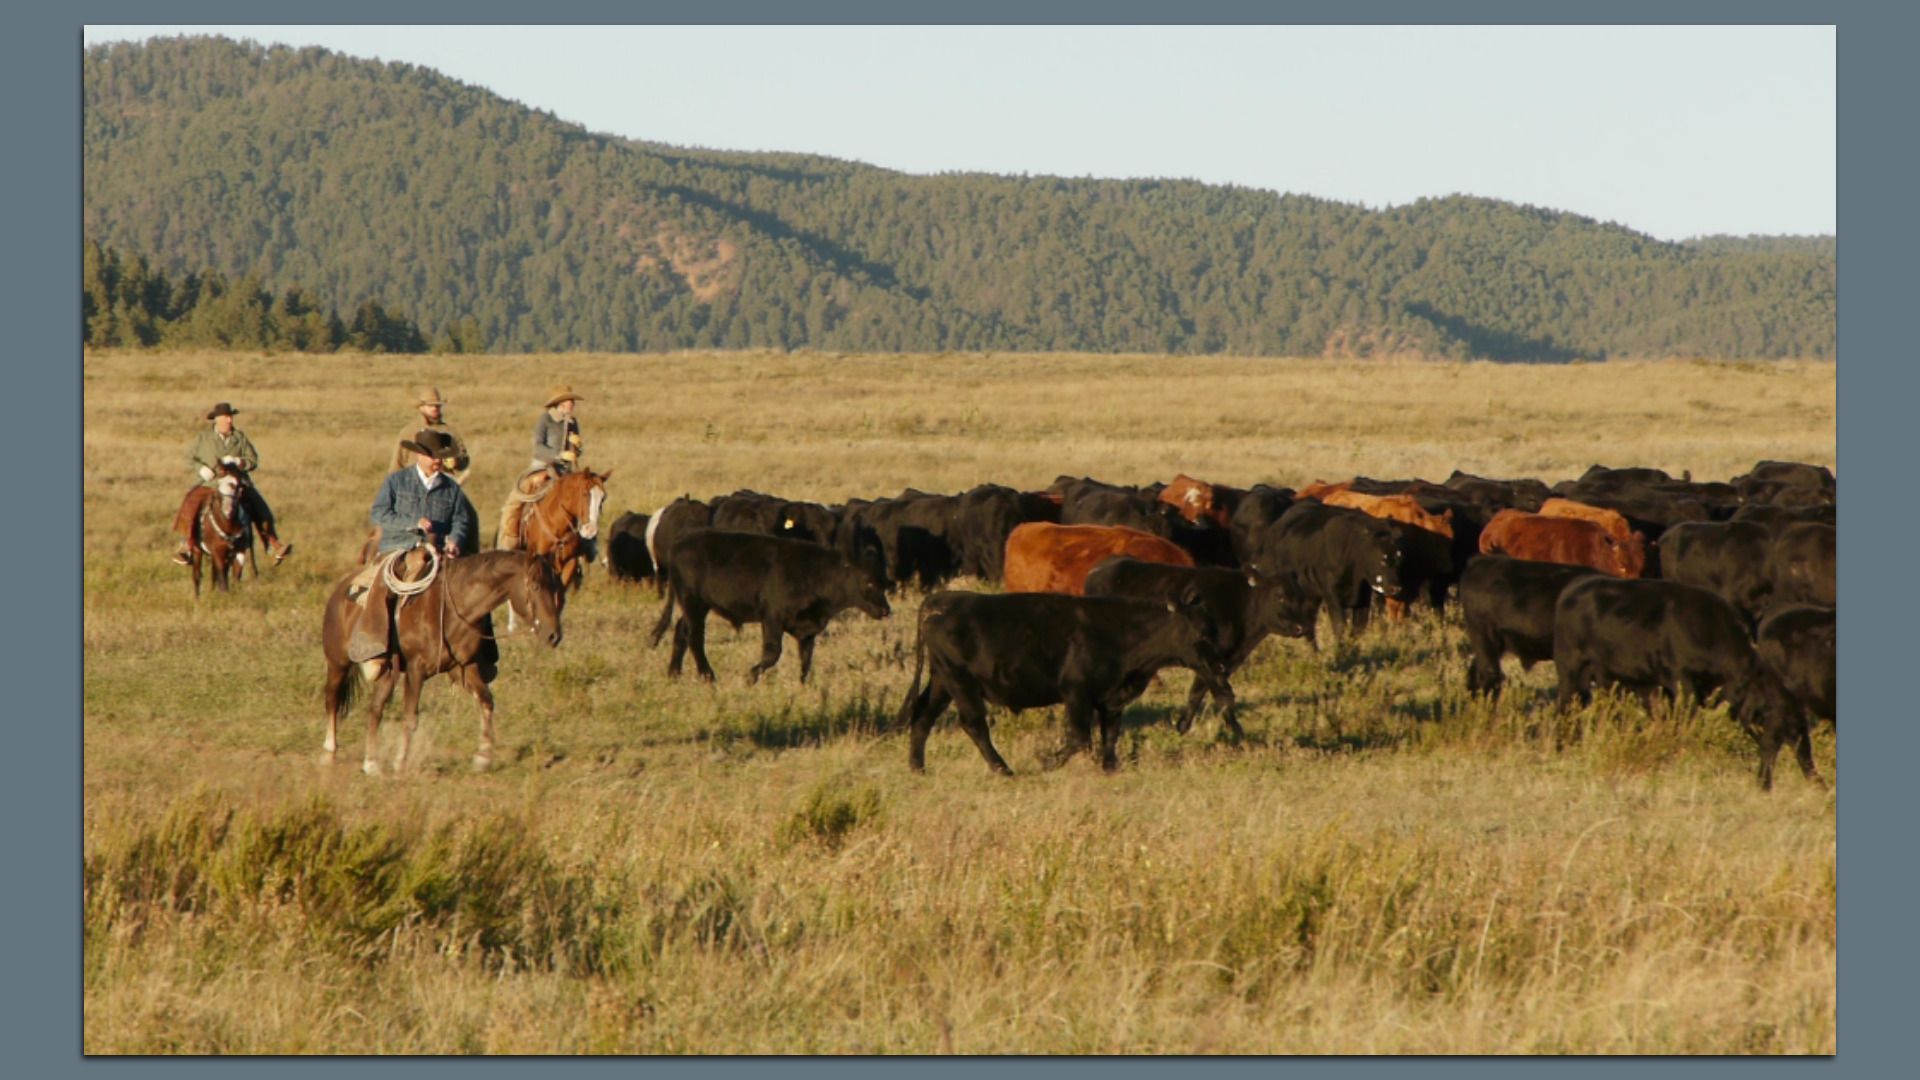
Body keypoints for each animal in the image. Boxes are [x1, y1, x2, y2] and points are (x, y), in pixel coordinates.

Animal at [647, 529, 891, 684]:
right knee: (695, 638)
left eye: (884, 581)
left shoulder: (808, 629)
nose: (886, 611)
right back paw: (708, 676)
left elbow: (806, 658)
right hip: (694, 603)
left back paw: (674, 673)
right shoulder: (772, 617)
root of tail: (679, 543)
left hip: (697, 606)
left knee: (682, 631)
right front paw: (751, 676)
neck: (816, 574)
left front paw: (804, 684)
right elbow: (773, 652)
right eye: (868, 581)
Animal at [897, 590, 1232, 775]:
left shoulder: (1111, 699)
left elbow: (1110, 735)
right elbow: (1080, 737)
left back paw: (918, 768)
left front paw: (1111, 768)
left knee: (923, 716)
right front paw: (1045, 761)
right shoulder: (1076, 692)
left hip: (942, 681)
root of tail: (941, 600)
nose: (1221, 665)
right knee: (974, 723)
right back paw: (1004, 769)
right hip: (960, 681)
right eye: (1201, 633)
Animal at [1083, 556, 1317, 736]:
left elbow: (1197, 693)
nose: (1301, 627)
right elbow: (1222, 697)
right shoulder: (1207, 659)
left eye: (1301, 596)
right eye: (1279, 596)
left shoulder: (1219, 662)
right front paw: (1238, 733)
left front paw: (1182, 726)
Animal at [1245, 501, 1404, 640]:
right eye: (1381, 558)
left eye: (1398, 557)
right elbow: (1339, 626)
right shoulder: (1332, 595)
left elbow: (1358, 629)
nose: (1395, 588)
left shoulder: (1363, 597)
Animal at [1551, 577, 1819, 790]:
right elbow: (1686, 721)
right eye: (1776, 723)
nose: (1810, 771)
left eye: (1800, 728)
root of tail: (1577, 587)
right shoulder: (1682, 681)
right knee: (1564, 710)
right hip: (1571, 671)